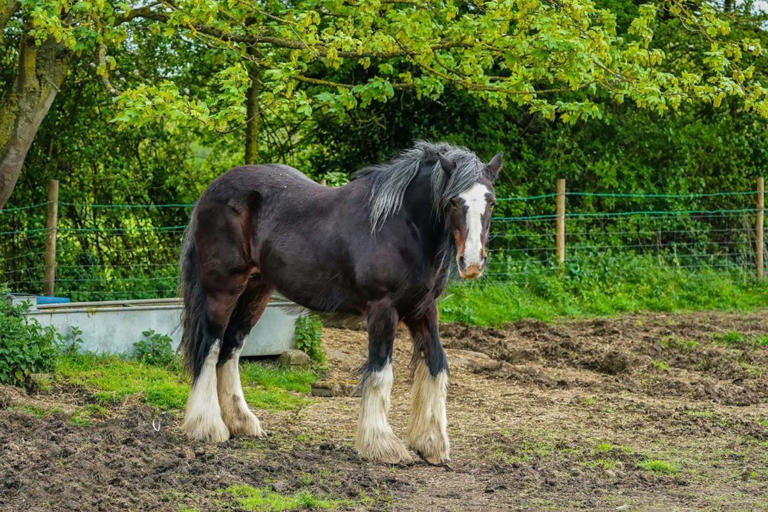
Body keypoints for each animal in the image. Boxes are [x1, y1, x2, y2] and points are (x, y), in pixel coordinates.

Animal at [178, 141, 502, 464]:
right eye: (453, 201)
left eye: (491, 202)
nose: (472, 263)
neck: (401, 226)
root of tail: (212, 189)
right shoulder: (383, 309)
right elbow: (380, 372)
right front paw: (382, 445)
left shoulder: (423, 309)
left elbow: (437, 366)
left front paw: (431, 444)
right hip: (223, 289)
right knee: (210, 346)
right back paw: (208, 426)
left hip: (256, 291)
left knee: (231, 349)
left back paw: (241, 422)